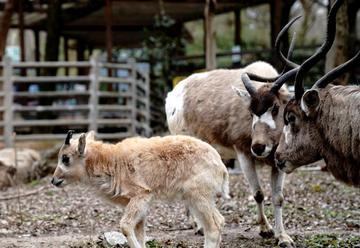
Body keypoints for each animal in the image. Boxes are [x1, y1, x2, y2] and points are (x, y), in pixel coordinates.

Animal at [51, 131, 229, 247]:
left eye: (65, 158)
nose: (54, 180)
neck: (113, 162)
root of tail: (220, 166)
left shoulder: (141, 196)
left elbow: (125, 226)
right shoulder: (140, 205)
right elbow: (140, 234)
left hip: (199, 198)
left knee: (213, 228)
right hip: (197, 200)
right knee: (219, 222)